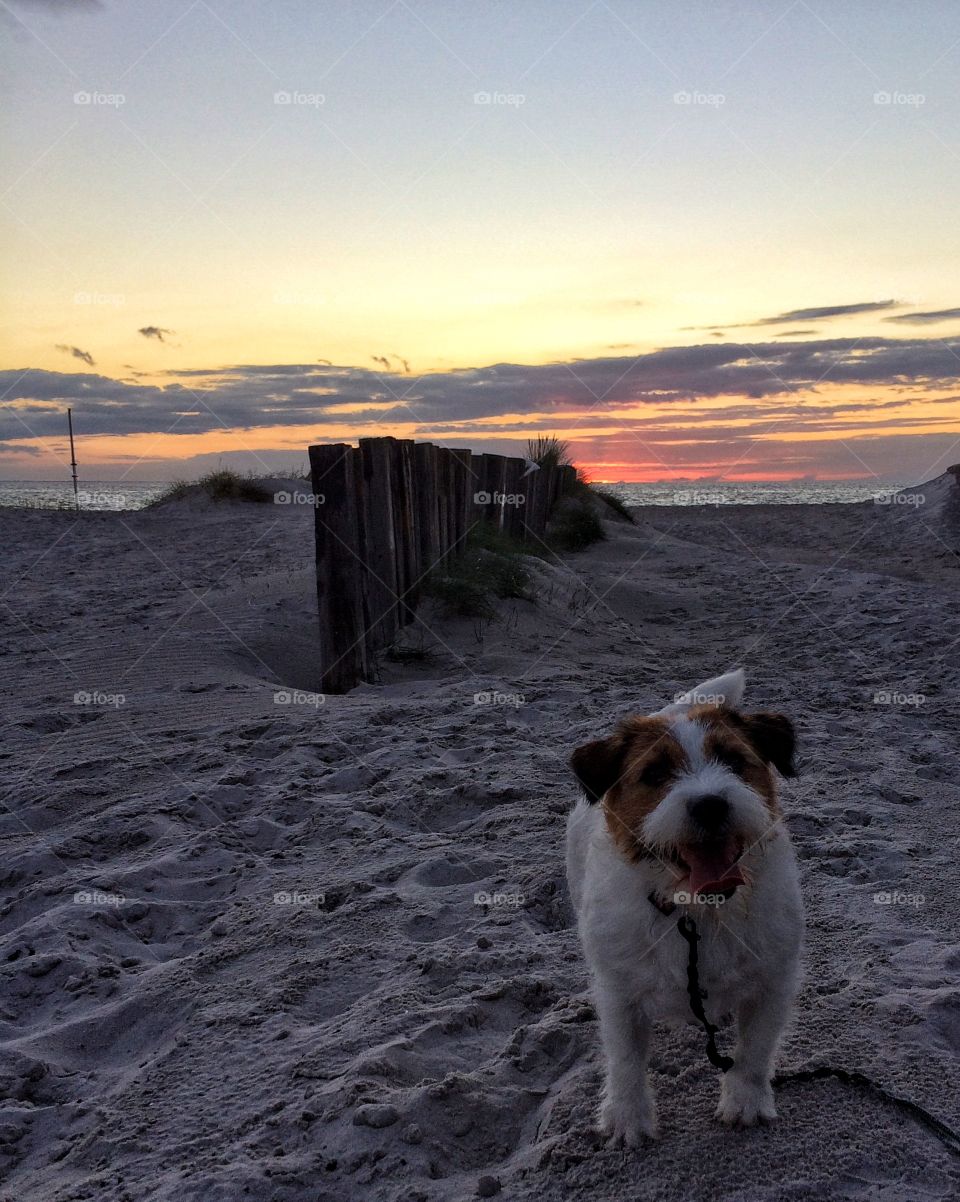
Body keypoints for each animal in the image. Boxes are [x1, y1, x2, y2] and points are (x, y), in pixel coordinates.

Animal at [562, 668, 802, 1144]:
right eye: (654, 773)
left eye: (733, 760)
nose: (710, 804)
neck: (697, 911)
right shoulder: (619, 994)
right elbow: (625, 1059)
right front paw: (627, 1118)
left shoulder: (772, 981)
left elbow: (755, 1048)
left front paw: (745, 1102)